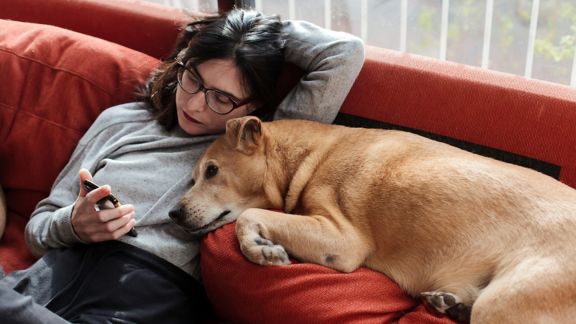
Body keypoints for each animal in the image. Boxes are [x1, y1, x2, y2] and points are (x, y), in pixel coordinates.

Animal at [169, 117, 576, 324]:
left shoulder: (341, 239)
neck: (309, 155)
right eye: (193, 176)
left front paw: (259, 249)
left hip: (503, 304)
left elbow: (251, 215)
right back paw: (451, 305)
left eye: (212, 171)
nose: (174, 213)